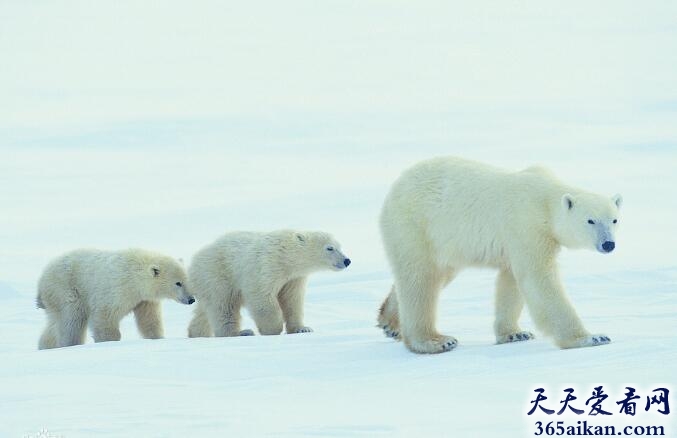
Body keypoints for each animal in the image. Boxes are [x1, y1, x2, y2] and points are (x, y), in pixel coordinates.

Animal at [37, 248, 194, 350]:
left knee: (54, 323)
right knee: (72, 319)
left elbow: (149, 319)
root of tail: (42, 278)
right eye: (178, 283)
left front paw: (158, 338)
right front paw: (109, 342)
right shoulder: (116, 289)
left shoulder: (144, 299)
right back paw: (70, 344)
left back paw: (45, 346)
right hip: (66, 288)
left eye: (187, 280)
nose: (191, 299)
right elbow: (104, 316)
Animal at [187, 231, 352, 338]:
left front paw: (302, 329)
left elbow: (292, 300)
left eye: (340, 246)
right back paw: (240, 332)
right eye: (330, 248)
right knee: (224, 305)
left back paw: (196, 333)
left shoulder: (294, 278)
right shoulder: (266, 266)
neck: (285, 256)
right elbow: (261, 296)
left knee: (204, 311)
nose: (347, 260)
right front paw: (272, 329)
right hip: (218, 274)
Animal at [378, 156, 620, 354]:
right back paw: (436, 341)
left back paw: (390, 322)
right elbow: (538, 280)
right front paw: (591, 337)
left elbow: (511, 281)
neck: (544, 200)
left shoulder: (519, 239)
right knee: (420, 279)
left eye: (614, 219)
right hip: (416, 225)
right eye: (590, 220)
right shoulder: (527, 226)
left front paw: (514, 333)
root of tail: (394, 188)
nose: (608, 244)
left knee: (436, 275)